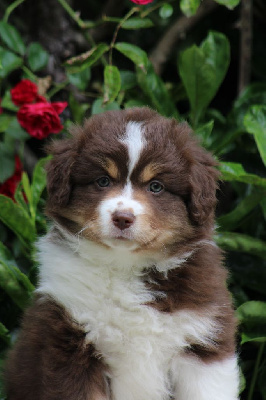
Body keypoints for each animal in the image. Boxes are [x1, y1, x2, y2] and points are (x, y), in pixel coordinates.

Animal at [5, 107, 240, 400]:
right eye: (103, 181)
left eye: (156, 186)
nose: (123, 218)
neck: (125, 266)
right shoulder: (70, 341)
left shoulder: (202, 342)